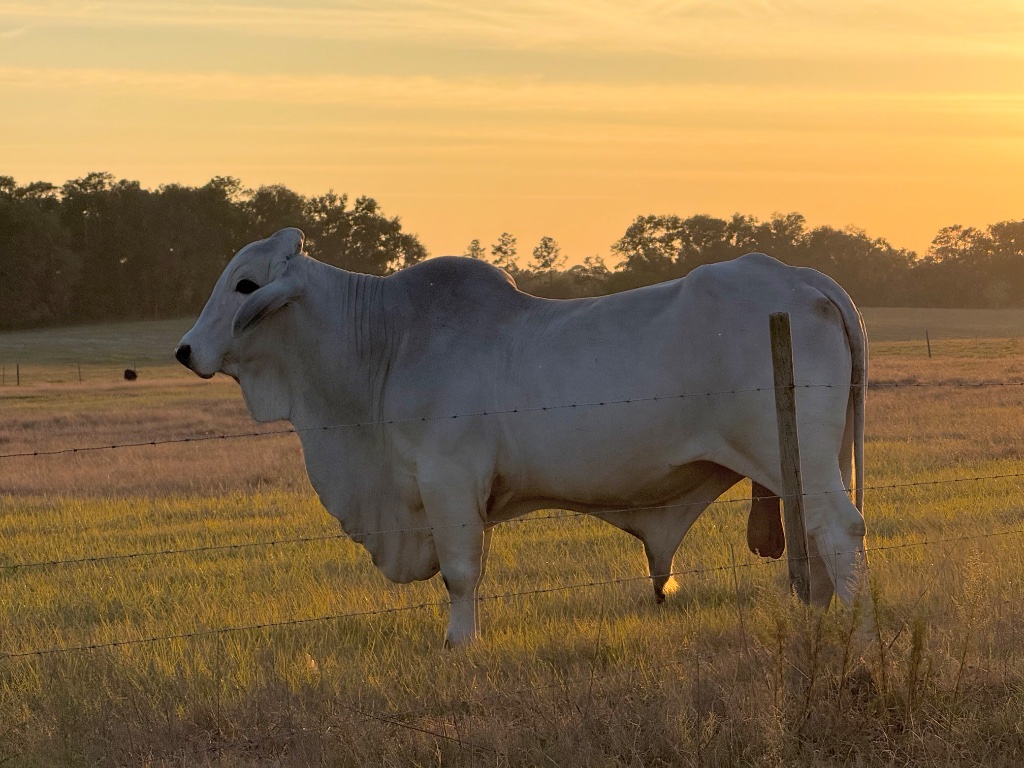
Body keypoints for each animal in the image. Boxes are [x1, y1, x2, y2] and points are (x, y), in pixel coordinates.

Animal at [175, 228, 867, 646]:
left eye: (244, 284)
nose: (184, 350)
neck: (384, 346)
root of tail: (800, 277)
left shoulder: (448, 481)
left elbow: (460, 574)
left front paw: (458, 645)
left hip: (799, 458)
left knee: (839, 531)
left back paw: (858, 635)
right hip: (807, 462)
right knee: (817, 539)